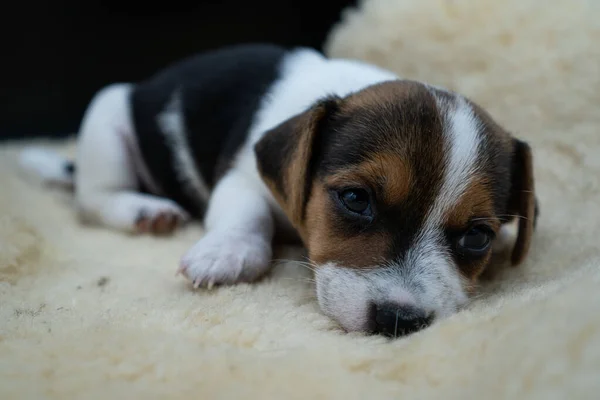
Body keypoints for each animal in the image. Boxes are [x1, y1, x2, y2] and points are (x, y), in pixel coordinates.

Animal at [19, 43, 540, 338]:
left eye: (477, 237)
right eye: (356, 200)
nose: (400, 321)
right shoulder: (241, 176)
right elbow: (244, 213)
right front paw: (227, 253)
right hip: (108, 118)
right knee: (94, 198)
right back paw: (144, 210)